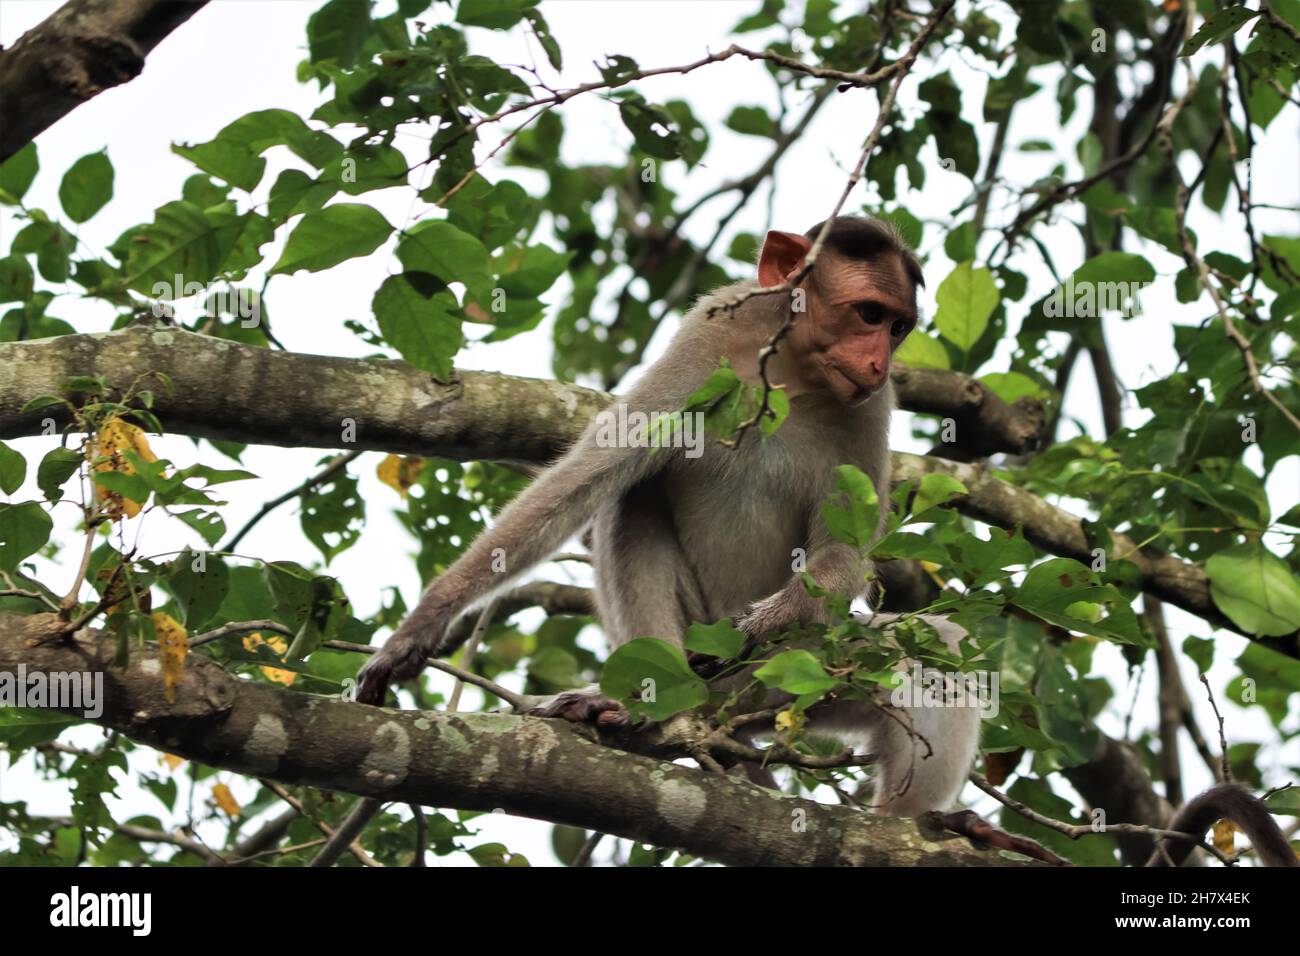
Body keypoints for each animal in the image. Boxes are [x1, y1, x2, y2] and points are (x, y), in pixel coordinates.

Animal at [356, 214, 977, 816]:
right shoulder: (709, 334)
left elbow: (846, 553)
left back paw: (910, 821)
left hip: (792, 677)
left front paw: (766, 620)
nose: (878, 362)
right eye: (870, 313)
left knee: (940, 650)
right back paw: (648, 709)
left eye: (898, 328)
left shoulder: (869, 409)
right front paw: (424, 622)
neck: (792, 375)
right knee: (631, 499)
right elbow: (590, 474)